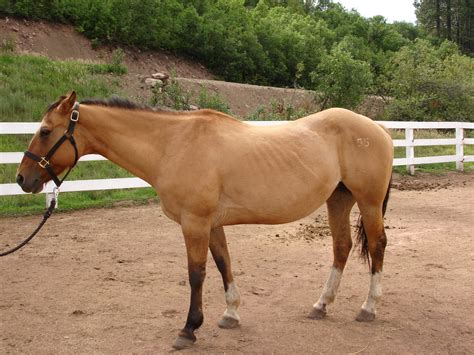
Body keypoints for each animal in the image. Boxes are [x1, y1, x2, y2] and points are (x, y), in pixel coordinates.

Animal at [15, 92, 392, 350]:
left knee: (377, 245)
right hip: (339, 199)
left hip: (368, 202)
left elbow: (196, 274)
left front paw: (189, 329)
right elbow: (224, 263)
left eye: (45, 131)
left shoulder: (194, 223)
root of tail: (378, 128)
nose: (22, 179)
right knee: (341, 247)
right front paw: (231, 314)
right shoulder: (212, 224)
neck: (173, 145)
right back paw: (321, 305)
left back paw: (368, 307)